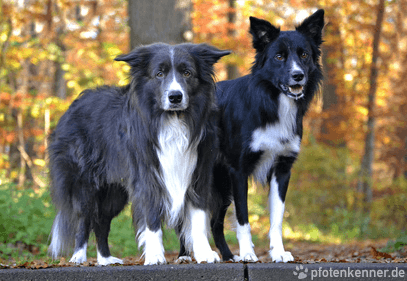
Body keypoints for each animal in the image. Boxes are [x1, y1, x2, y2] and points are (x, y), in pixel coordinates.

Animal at [47, 42, 230, 264]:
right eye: (159, 74)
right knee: (84, 218)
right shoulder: (147, 177)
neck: (172, 120)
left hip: (114, 191)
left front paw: (204, 253)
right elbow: (151, 219)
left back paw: (105, 259)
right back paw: (78, 256)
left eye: (187, 73)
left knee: (101, 221)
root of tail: (71, 107)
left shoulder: (199, 173)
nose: (175, 97)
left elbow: (198, 215)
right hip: (84, 182)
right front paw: (155, 256)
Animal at [209, 9, 326, 262]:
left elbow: (277, 220)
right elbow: (243, 218)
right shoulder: (239, 170)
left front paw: (279, 253)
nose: (298, 76)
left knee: (215, 223)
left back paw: (228, 256)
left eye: (304, 54)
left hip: (222, 186)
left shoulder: (282, 169)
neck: (272, 103)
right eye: (279, 57)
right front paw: (247, 253)